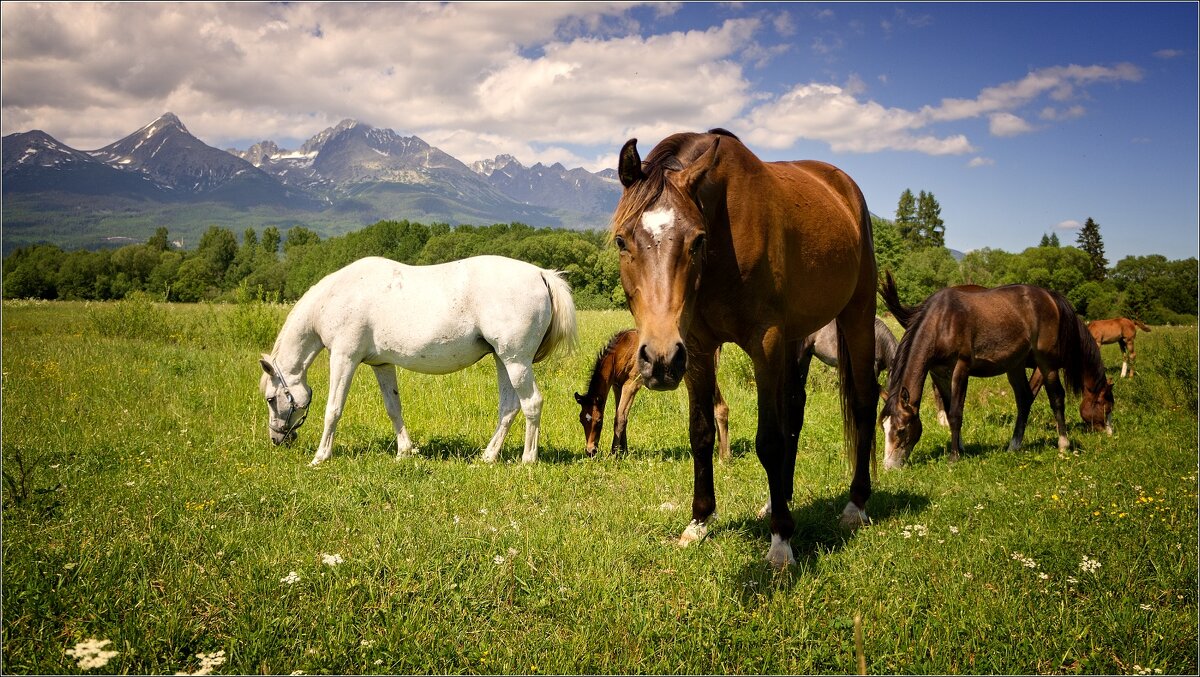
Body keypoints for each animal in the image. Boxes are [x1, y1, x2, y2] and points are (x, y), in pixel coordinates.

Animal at [260, 254, 578, 465]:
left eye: (271, 399)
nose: (276, 439)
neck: (337, 296)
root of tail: (541, 274)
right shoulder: (382, 365)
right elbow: (393, 408)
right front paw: (404, 452)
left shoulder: (343, 358)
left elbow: (333, 409)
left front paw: (321, 456)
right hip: (504, 360)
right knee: (509, 408)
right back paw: (488, 457)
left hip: (516, 361)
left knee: (532, 403)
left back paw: (528, 459)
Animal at [573, 326, 729, 460]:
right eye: (581, 420)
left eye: (599, 421)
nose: (590, 451)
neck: (620, 351)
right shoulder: (617, 386)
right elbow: (622, 416)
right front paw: (624, 452)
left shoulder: (632, 384)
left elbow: (620, 418)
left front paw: (614, 455)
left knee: (721, 407)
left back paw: (724, 458)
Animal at [609, 128, 883, 566]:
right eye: (622, 241)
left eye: (697, 241)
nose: (660, 359)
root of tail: (843, 186)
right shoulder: (698, 349)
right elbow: (701, 432)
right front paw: (699, 522)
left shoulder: (765, 342)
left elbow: (769, 440)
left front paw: (781, 542)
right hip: (795, 338)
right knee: (794, 411)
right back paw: (778, 499)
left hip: (856, 314)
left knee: (862, 402)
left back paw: (855, 505)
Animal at [878, 272, 1108, 468]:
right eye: (884, 427)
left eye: (901, 429)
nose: (889, 467)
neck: (941, 321)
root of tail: (1051, 296)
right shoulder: (939, 373)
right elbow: (948, 408)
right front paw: (960, 447)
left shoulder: (960, 368)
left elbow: (956, 413)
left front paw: (954, 457)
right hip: (1015, 366)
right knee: (1024, 399)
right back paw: (1014, 445)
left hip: (1046, 363)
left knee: (1057, 397)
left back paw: (1063, 445)